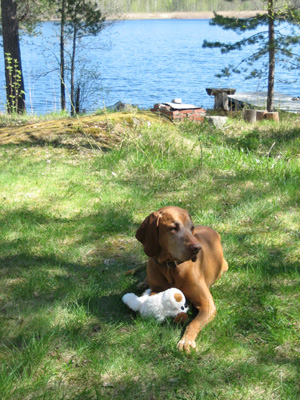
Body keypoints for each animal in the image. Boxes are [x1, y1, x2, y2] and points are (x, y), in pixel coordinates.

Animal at [135, 206, 229, 354]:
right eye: (174, 228)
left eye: (191, 228)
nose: (197, 248)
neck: (170, 267)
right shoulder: (156, 288)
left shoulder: (207, 304)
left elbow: (193, 323)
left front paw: (186, 341)